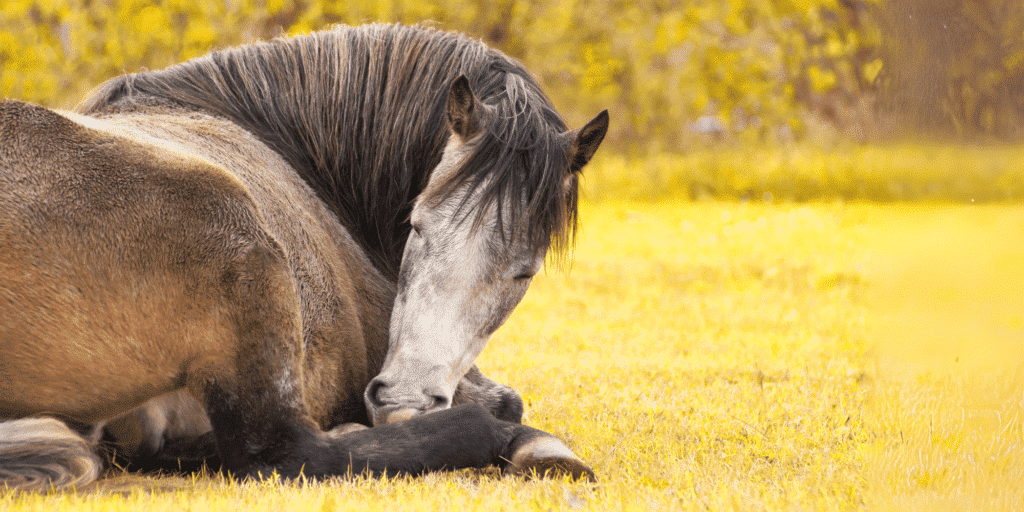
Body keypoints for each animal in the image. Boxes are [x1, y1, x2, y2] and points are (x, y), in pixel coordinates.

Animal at [0, 22, 606, 489]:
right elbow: (505, 402)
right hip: (237, 242)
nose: (404, 397)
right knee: (283, 453)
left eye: (523, 272)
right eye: (417, 224)